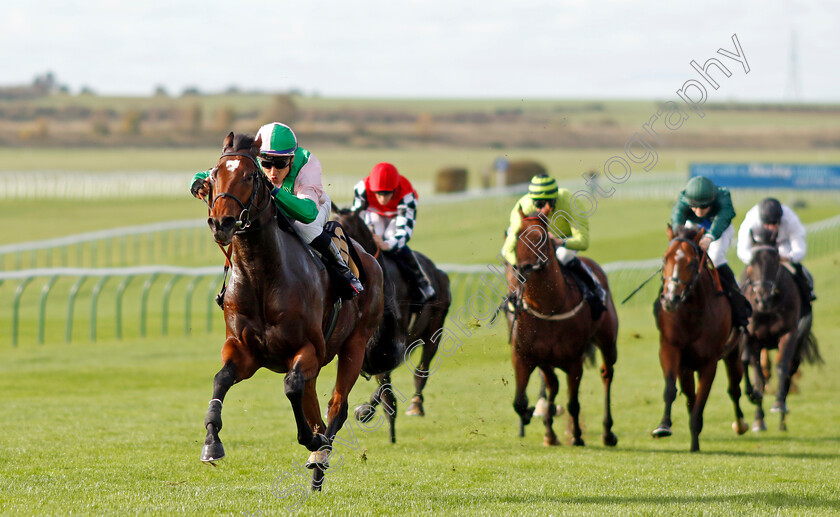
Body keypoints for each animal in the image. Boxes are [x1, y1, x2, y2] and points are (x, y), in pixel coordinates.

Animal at [200, 132, 384, 488]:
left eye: (250, 176)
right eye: (213, 176)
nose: (221, 222)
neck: (261, 277)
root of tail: (369, 257)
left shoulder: (308, 349)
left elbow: (291, 387)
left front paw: (313, 441)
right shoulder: (244, 351)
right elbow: (221, 379)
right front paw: (212, 442)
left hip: (354, 345)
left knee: (336, 406)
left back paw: (320, 456)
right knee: (313, 403)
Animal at [334, 205, 452, 440]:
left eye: (347, 230)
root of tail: (440, 273)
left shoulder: (391, 339)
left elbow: (384, 373)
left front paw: (373, 412)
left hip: (434, 331)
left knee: (421, 371)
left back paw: (415, 406)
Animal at [508, 208, 620, 446]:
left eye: (541, 237)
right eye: (517, 236)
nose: (523, 269)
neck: (548, 308)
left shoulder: (574, 360)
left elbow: (573, 403)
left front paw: (577, 436)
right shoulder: (524, 356)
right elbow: (520, 402)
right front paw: (533, 414)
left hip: (607, 341)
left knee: (607, 374)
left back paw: (608, 433)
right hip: (547, 361)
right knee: (553, 385)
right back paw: (550, 432)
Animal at [648, 224, 748, 450]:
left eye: (692, 263)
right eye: (665, 259)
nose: (670, 299)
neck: (692, 313)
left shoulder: (709, 362)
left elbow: (701, 401)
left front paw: (695, 443)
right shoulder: (670, 349)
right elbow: (672, 390)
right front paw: (663, 426)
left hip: (733, 354)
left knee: (734, 389)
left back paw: (741, 425)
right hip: (686, 366)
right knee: (689, 395)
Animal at [740, 226, 820, 432]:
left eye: (775, 259)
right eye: (752, 261)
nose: (763, 298)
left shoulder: (789, 334)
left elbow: (782, 367)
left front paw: (778, 405)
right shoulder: (753, 340)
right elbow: (758, 375)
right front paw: (758, 418)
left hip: (799, 344)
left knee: (790, 371)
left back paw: (782, 419)